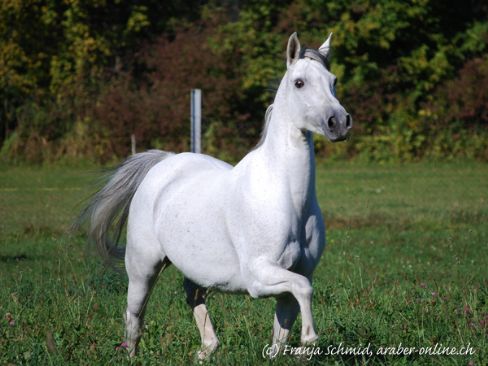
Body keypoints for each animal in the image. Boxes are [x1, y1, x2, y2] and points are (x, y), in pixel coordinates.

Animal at [84, 33, 350, 358]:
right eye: (299, 82)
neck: (287, 198)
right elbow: (303, 289)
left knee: (193, 295)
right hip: (142, 267)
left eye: (333, 80)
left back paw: (207, 349)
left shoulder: (298, 273)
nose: (339, 122)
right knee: (134, 315)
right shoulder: (259, 276)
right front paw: (310, 338)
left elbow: (284, 326)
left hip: (192, 269)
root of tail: (164, 163)